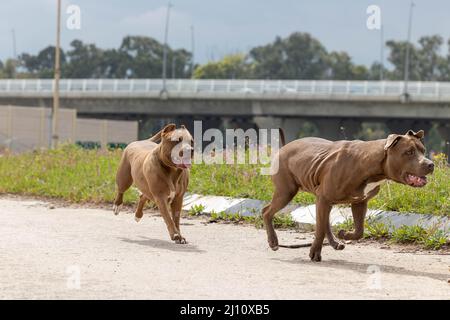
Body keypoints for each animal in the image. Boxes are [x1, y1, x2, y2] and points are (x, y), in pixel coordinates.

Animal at [266, 129, 434, 262]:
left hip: (320, 200)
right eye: (409, 152)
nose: (431, 164)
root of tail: (284, 147)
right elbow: (319, 230)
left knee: (324, 222)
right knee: (267, 211)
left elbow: (359, 231)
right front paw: (315, 252)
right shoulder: (324, 197)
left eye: (423, 150)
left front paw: (345, 234)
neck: (370, 164)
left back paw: (335, 242)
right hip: (286, 192)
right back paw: (273, 241)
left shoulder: (360, 202)